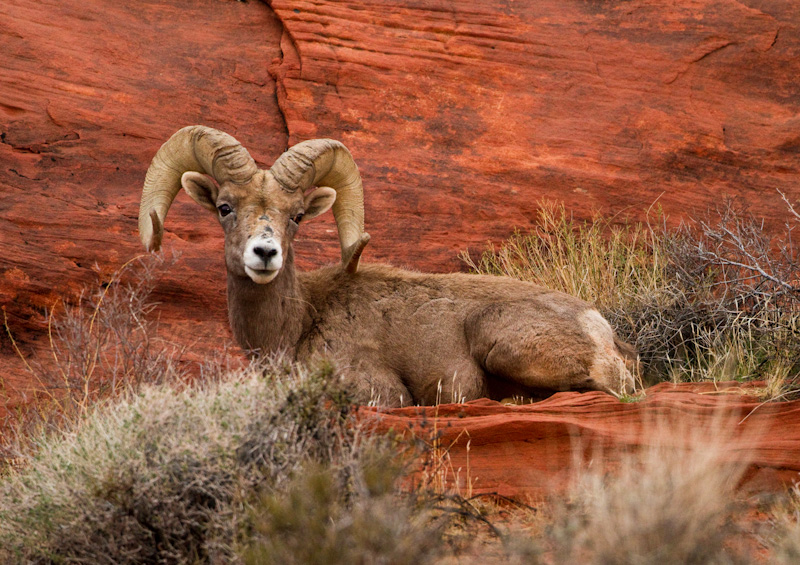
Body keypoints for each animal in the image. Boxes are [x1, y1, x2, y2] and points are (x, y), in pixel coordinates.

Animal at [139, 125, 636, 404]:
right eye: (225, 207)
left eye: (296, 216)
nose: (265, 254)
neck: (294, 327)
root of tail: (600, 328)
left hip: (501, 342)